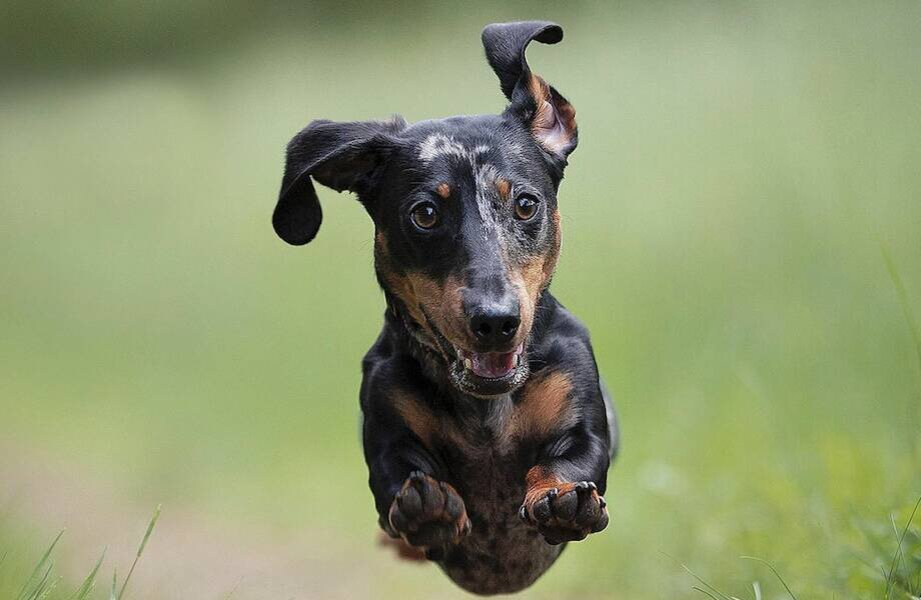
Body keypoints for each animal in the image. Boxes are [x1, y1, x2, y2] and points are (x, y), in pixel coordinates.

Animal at [272, 21, 619, 595]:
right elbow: (398, 472)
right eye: (426, 214)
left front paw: (560, 497)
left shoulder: (581, 415)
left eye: (526, 203)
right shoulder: (387, 424)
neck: (485, 409)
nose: (496, 322)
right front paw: (426, 507)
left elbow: (575, 458)